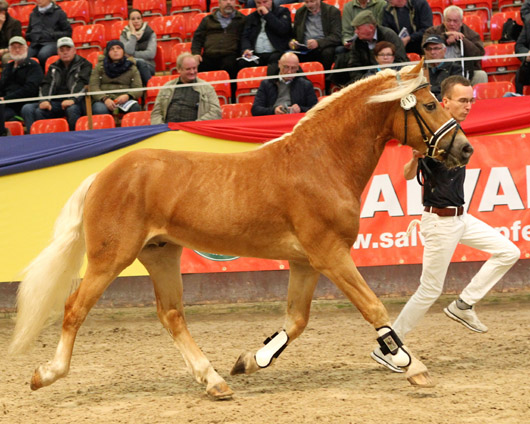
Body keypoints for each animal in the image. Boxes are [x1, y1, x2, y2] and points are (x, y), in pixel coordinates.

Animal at [8, 60, 470, 400]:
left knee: (171, 314)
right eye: (431, 105)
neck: (321, 163)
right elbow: (373, 308)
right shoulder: (331, 255)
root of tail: (103, 174)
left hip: (161, 253)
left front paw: (252, 361)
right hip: (111, 257)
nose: (464, 148)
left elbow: (296, 320)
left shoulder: (306, 262)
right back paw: (45, 374)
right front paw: (414, 367)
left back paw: (214, 381)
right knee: (75, 309)